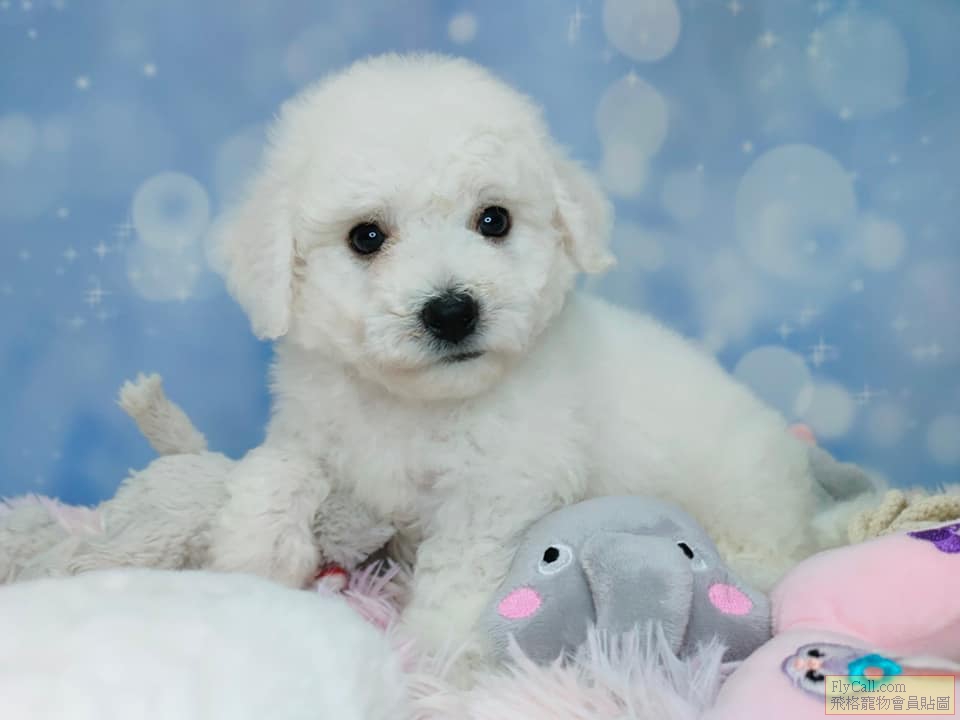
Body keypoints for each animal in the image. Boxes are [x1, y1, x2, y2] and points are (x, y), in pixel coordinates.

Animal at [208, 53, 874, 657]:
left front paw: (436, 654)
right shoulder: (313, 424)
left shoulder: (499, 486)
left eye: (494, 220)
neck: (415, 400)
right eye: (365, 237)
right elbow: (277, 465)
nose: (452, 311)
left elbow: (458, 568)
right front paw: (255, 552)